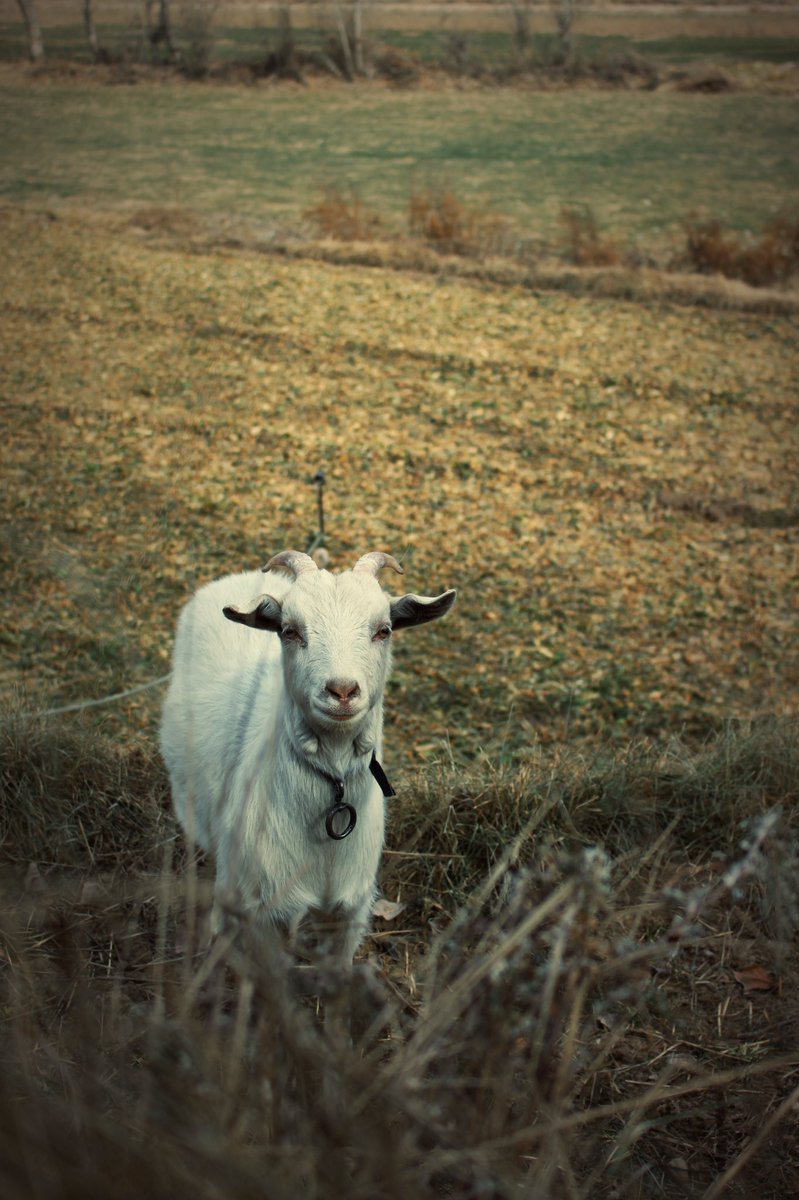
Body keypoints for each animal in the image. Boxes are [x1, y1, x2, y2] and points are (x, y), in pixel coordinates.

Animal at [159, 549, 456, 973]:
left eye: (384, 630)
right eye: (289, 630)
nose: (342, 690)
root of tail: (237, 576)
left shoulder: (348, 914)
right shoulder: (259, 909)